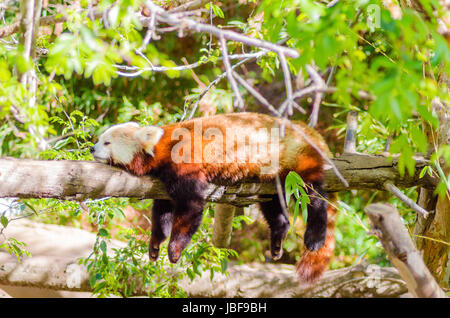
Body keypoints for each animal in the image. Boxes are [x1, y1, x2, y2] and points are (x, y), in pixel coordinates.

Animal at [91, 112, 338, 284]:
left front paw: (174, 249)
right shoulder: (162, 182)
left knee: (313, 195)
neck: (160, 148)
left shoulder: (184, 160)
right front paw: (155, 245)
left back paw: (315, 236)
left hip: (295, 158)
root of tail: (302, 128)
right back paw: (277, 237)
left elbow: (190, 208)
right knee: (273, 204)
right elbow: (163, 212)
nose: (92, 149)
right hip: (272, 177)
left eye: (107, 142)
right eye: (100, 139)